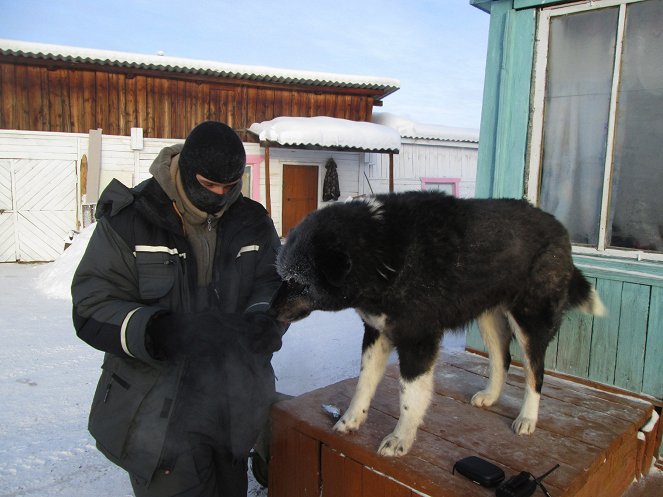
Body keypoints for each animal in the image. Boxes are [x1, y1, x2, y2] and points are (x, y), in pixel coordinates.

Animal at [272, 192, 608, 456]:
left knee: (535, 373)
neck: (384, 251)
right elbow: (364, 383)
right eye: (282, 276)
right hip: (487, 317)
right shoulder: (377, 332)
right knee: (502, 359)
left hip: (530, 322)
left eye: (298, 283)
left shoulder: (418, 339)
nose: (270, 311)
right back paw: (491, 396)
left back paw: (527, 418)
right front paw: (350, 420)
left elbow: (409, 396)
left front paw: (400, 440)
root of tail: (559, 227)